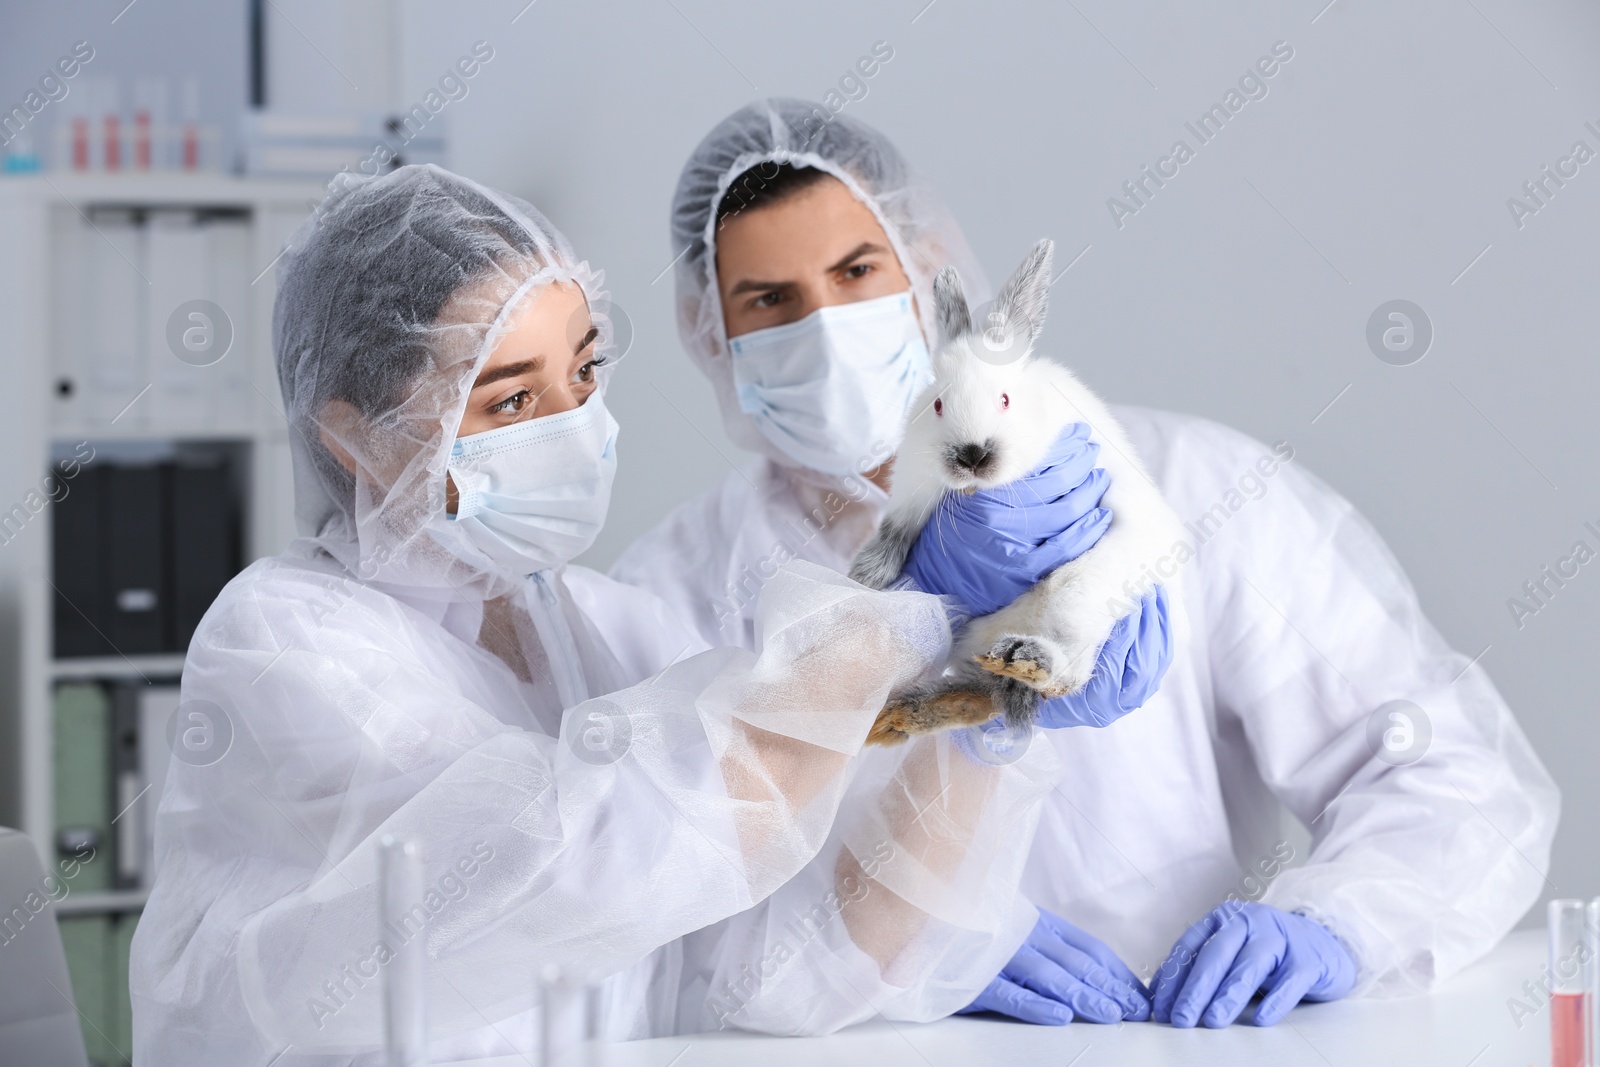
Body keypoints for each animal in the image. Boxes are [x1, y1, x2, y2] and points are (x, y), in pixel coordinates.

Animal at [857, 238, 1184, 748]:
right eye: (938, 404)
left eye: (1005, 400)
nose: (973, 454)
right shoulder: (911, 490)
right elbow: (894, 534)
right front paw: (867, 575)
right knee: (981, 694)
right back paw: (901, 715)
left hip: (1081, 595)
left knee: (1067, 676)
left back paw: (1027, 659)